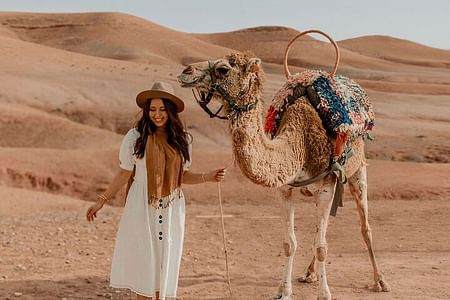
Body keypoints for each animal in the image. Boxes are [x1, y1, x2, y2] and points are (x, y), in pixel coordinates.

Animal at [178, 41, 388, 298]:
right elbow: (290, 243)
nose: (186, 71)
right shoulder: (284, 188)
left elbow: (321, 246)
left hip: (358, 171)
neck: (299, 142)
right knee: (322, 231)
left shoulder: (326, 185)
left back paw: (380, 281)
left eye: (223, 69)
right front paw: (283, 290)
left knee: (364, 227)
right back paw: (308, 273)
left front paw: (324, 293)